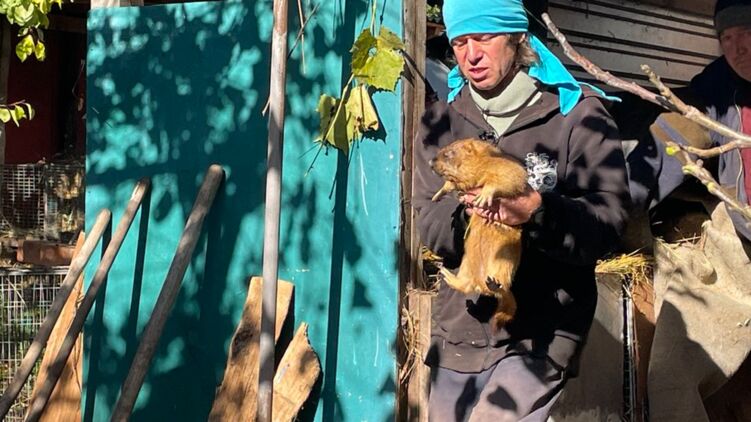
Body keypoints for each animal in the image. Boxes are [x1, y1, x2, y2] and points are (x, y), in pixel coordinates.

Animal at [430, 138, 529, 329]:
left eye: (449, 153)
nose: (430, 162)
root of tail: (481, 281)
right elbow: (449, 184)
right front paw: (436, 195)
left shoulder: (498, 164)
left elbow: (510, 175)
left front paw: (483, 196)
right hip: (467, 262)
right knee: (466, 285)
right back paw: (447, 274)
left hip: (504, 260)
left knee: (500, 288)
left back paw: (494, 283)